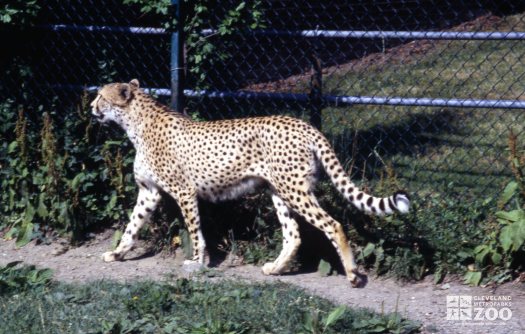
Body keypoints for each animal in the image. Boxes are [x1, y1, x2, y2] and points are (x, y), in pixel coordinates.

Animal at [91, 79, 410, 286]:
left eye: (101, 97)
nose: (92, 106)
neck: (135, 121)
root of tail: (304, 124)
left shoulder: (184, 191)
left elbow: (195, 231)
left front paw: (198, 263)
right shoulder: (149, 191)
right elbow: (132, 226)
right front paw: (117, 253)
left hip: (294, 190)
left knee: (332, 224)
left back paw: (353, 274)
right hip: (279, 191)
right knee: (293, 234)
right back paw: (275, 269)